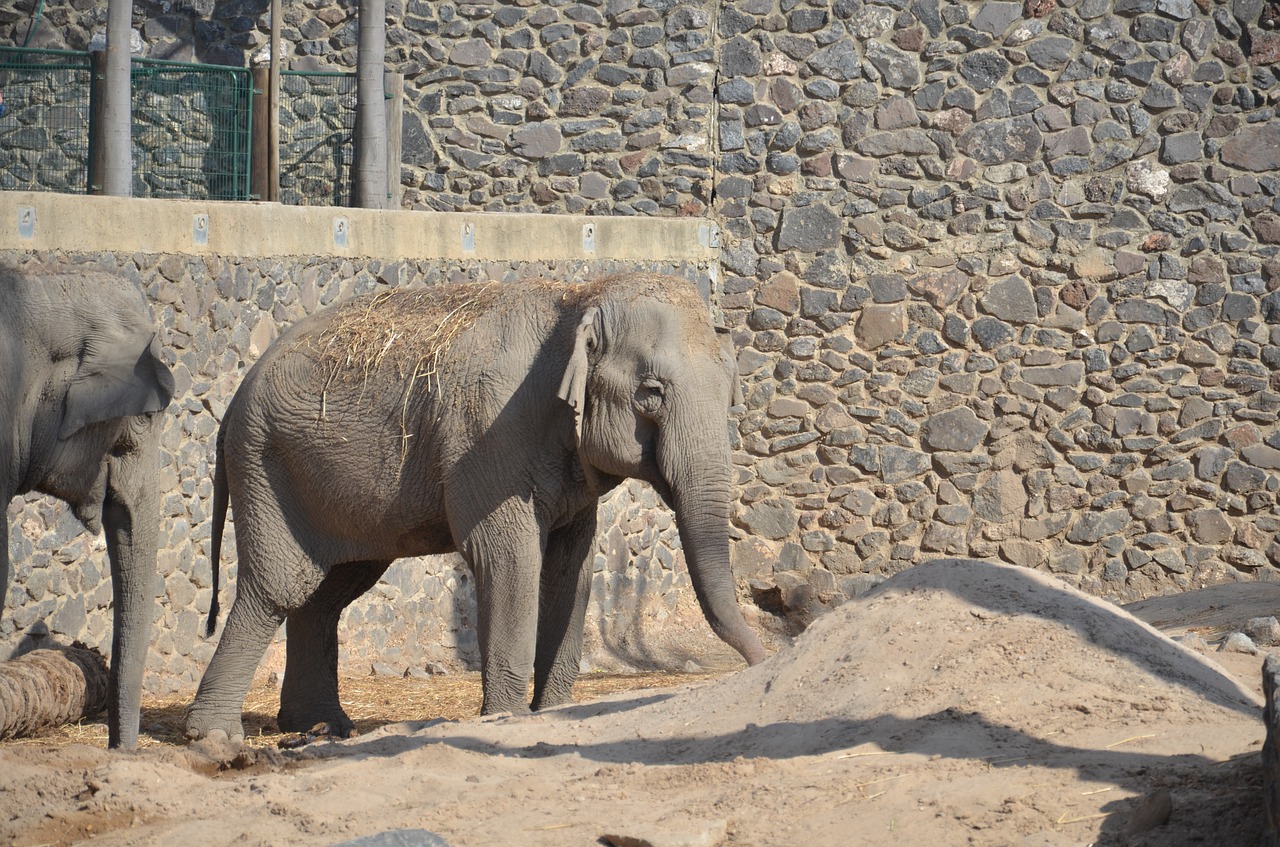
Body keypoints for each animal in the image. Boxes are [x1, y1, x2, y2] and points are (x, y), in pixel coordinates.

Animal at [188, 273, 762, 742]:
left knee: (328, 592)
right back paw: (215, 735)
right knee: (278, 587)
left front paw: (555, 713)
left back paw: (320, 727)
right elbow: (507, 559)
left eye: (730, 391)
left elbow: (570, 569)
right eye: (651, 392)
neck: (579, 297)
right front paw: (508, 719)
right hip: (266, 465)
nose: (762, 660)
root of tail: (233, 403)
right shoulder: (490, 434)